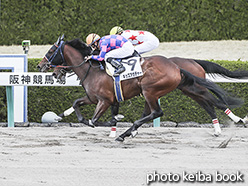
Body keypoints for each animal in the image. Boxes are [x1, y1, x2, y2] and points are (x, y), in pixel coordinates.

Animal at [37, 35, 244, 142]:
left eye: (51, 50)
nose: (42, 66)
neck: (92, 69)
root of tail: (177, 67)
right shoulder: (95, 98)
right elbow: (77, 107)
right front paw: (62, 115)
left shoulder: (104, 100)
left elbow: (94, 121)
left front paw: (116, 123)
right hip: (174, 89)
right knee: (204, 103)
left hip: (152, 90)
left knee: (160, 111)